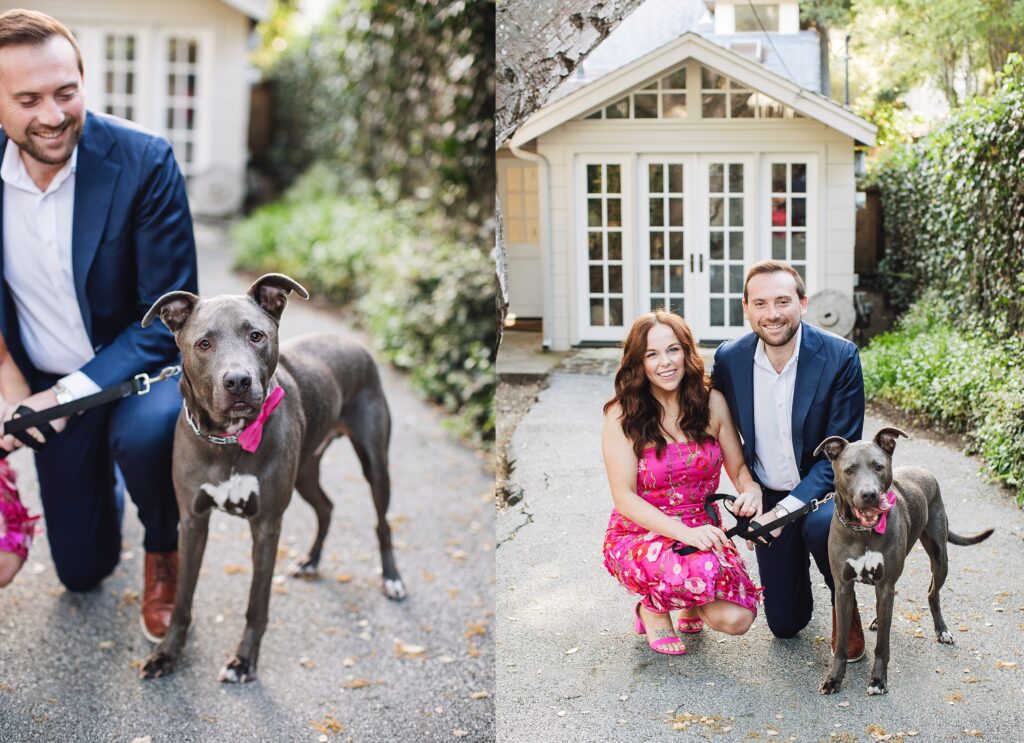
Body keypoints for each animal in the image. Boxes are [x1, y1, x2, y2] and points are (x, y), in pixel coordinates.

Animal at [137, 276, 407, 683]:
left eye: (256, 336)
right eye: (203, 343)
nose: (238, 381)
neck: (229, 441)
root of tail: (348, 340)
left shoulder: (266, 526)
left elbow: (257, 602)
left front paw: (243, 660)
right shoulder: (193, 520)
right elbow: (183, 596)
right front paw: (167, 653)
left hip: (375, 462)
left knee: (382, 522)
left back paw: (392, 579)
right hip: (306, 470)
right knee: (327, 507)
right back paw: (310, 561)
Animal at [815, 429, 991, 700]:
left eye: (879, 467)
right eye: (849, 469)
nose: (869, 495)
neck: (863, 532)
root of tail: (923, 471)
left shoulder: (885, 585)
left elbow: (882, 645)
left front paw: (878, 680)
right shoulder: (843, 587)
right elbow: (842, 642)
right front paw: (834, 679)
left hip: (940, 558)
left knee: (932, 593)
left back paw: (942, 630)